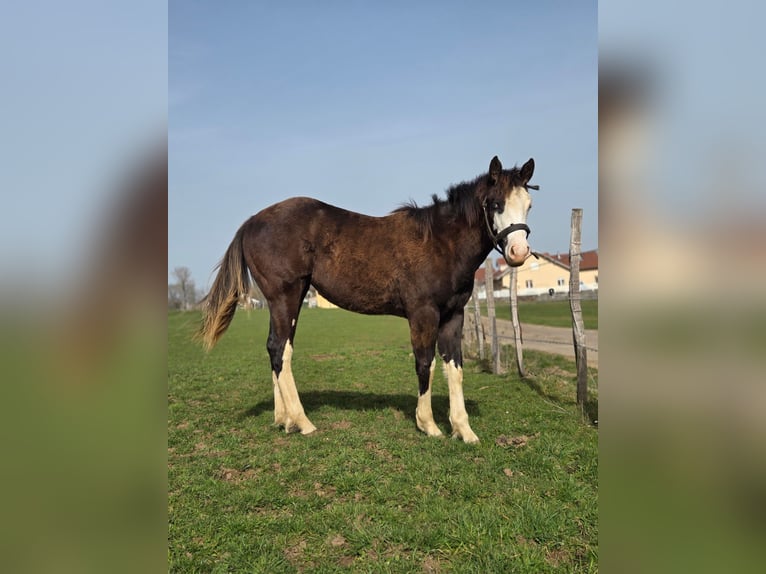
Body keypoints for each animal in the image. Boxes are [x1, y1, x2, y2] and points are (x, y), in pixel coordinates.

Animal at [198, 155, 537, 443]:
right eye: (496, 204)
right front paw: (428, 424)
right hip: (286, 296)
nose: (519, 253)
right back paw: (303, 422)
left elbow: (454, 368)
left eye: (529, 205)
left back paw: (284, 420)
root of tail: (251, 222)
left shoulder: (453, 315)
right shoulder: (423, 314)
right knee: (280, 349)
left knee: (276, 349)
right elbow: (424, 363)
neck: (441, 243)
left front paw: (463, 430)